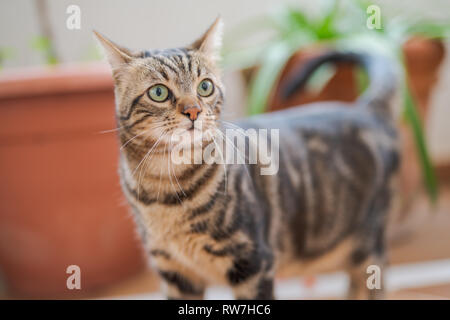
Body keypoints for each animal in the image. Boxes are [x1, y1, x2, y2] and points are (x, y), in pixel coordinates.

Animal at [96, 16, 400, 298]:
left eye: (205, 87)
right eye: (158, 92)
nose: (194, 111)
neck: (166, 189)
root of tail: (364, 109)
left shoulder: (253, 262)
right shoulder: (175, 273)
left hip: (368, 248)